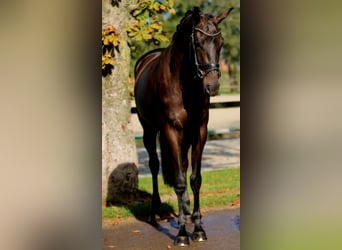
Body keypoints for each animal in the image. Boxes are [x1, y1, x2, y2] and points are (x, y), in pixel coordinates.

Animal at [134, 6, 232, 246]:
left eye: (221, 42)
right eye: (197, 42)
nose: (213, 86)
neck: (183, 83)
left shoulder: (199, 131)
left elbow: (195, 179)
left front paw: (198, 229)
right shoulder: (170, 130)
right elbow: (178, 180)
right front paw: (181, 234)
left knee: (184, 165)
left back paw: (186, 212)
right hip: (149, 130)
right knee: (154, 165)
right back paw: (154, 212)